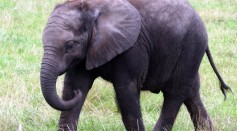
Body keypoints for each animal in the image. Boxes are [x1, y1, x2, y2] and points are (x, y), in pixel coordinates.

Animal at [39, 0, 231, 130]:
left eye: (70, 45)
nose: (78, 95)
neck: (93, 9)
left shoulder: (133, 48)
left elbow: (126, 92)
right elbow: (74, 85)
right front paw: (77, 91)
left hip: (191, 47)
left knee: (174, 94)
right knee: (191, 94)